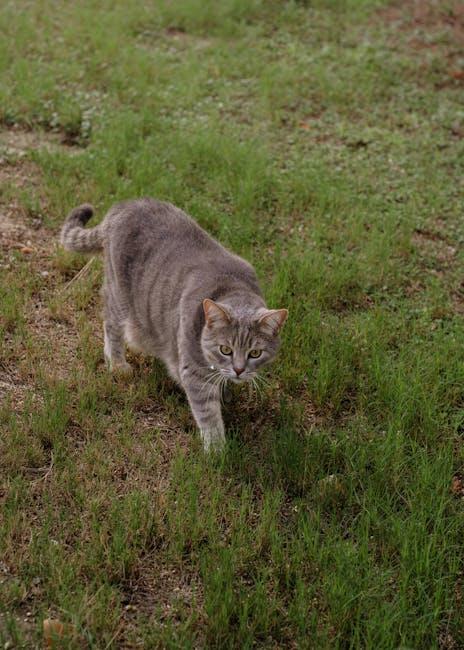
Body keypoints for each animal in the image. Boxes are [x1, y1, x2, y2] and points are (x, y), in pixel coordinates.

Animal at [60, 199, 288, 450]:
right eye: (225, 349)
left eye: (255, 353)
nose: (239, 370)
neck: (231, 287)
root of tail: (124, 205)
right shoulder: (194, 373)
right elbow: (208, 415)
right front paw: (217, 450)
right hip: (119, 295)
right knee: (111, 325)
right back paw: (118, 364)